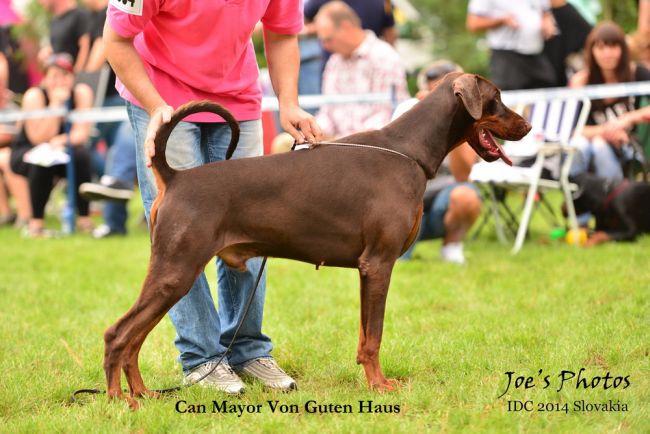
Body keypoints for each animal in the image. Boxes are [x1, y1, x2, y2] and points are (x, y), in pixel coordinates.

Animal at [102, 72, 531, 408]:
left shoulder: (367, 269)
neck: (408, 150)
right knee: (118, 334)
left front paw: (372, 380)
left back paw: (142, 394)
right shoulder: (378, 264)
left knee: (134, 339)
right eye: (497, 99)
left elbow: (364, 336)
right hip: (176, 270)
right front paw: (379, 386)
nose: (527, 126)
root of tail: (175, 176)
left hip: (173, 274)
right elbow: (374, 336)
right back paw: (118, 399)